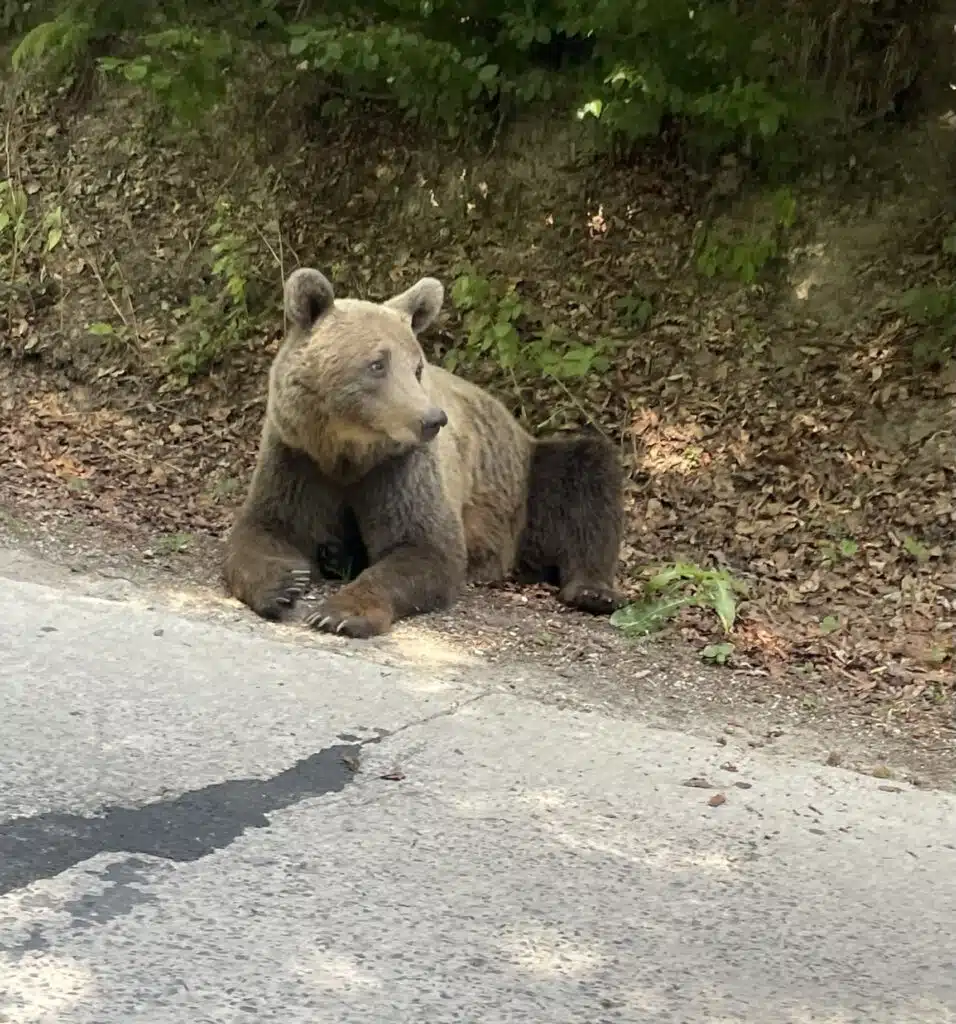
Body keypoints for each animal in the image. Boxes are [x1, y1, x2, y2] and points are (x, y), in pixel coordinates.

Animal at [222, 266, 625, 638]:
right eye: (377, 364)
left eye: (417, 367)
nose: (432, 418)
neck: (346, 451)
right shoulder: (298, 457)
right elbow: (265, 527)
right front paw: (283, 586)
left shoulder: (400, 468)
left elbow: (425, 549)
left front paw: (339, 613)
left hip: (526, 479)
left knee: (587, 473)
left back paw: (592, 590)